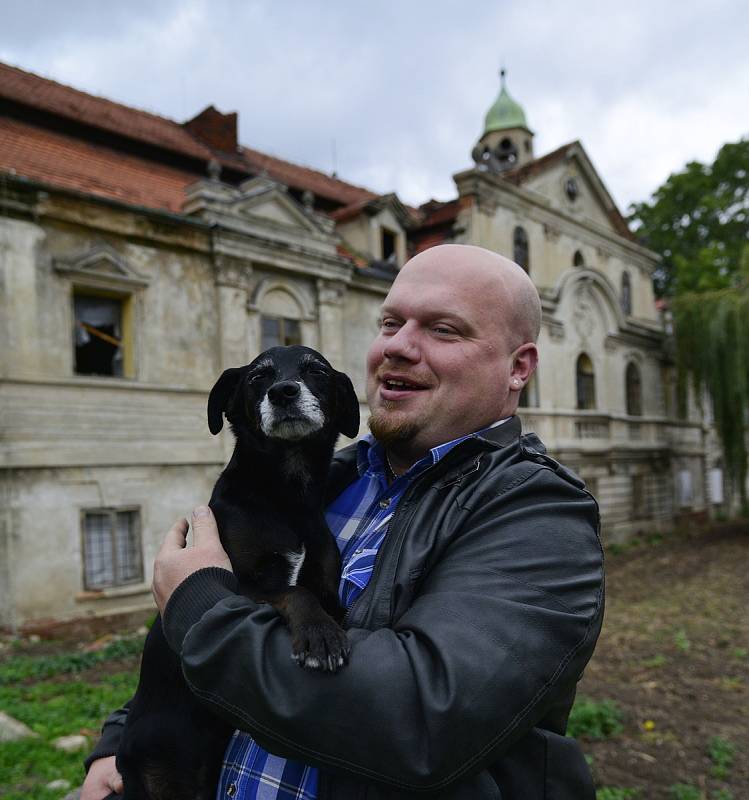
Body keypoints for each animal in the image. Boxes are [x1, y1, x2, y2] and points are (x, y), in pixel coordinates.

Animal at [116, 346, 360, 800]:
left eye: (316, 370)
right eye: (257, 377)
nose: (283, 392)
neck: (286, 494)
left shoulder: (327, 589)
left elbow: (325, 601)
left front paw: (329, 631)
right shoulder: (239, 583)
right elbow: (294, 593)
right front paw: (319, 636)